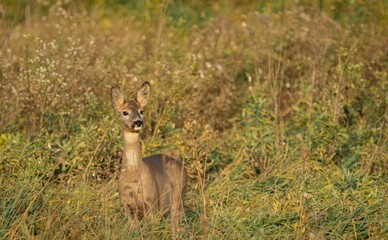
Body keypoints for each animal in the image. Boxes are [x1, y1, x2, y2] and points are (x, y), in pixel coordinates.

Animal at [110, 81, 188, 232]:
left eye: (141, 111)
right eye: (125, 112)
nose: (138, 122)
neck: (133, 176)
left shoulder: (152, 201)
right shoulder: (125, 203)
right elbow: (134, 227)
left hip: (178, 195)